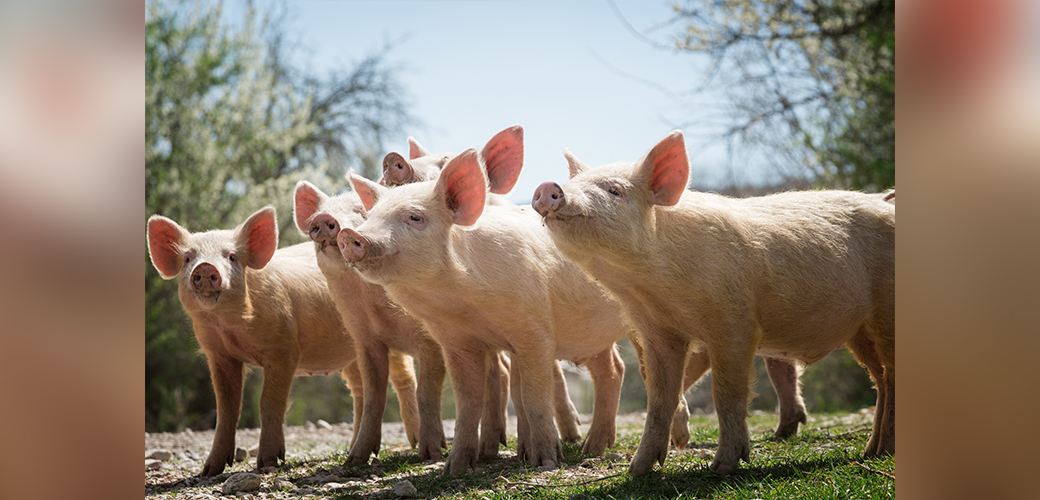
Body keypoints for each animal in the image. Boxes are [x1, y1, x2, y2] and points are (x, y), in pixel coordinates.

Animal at [146, 207, 421, 476]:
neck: (231, 327)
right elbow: (225, 410)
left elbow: (268, 403)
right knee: (360, 389)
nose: (204, 267)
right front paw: (209, 471)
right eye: (187, 258)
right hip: (351, 353)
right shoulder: (219, 355)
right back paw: (353, 453)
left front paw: (268, 463)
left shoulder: (284, 348)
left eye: (232, 256)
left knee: (404, 379)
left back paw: (415, 443)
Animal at [293, 181, 517, 462]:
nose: (323, 219)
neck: (373, 305)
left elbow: (426, 392)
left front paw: (431, 453)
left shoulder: (431, 339)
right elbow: (374, 395)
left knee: (499, 372)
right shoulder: (364, 338)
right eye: (319, 212)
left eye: (361, 211)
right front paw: (355, 460)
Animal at [341, 149, 633, 474]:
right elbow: (468, 402)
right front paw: (454, 468)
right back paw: (592, 449)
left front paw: (546, 462)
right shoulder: (457, 344)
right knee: (613, 369)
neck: (465, 305)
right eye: (370, 217)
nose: (349, 235)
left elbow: (533, 397)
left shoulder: (535, 332)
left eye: (415, 217)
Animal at [532, 130, 895, 475]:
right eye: (572, 183)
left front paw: (723, 467)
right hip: (860, 330)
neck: (649, 288)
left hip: (887, 310)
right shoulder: (658, 332)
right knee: (880, 379)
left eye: (614, 191)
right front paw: (637, 470)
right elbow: (659, 398)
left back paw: (881, 452)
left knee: (891, 375)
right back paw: (872, 451)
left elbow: (727, 394)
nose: (549, 187)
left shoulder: (735, 323)